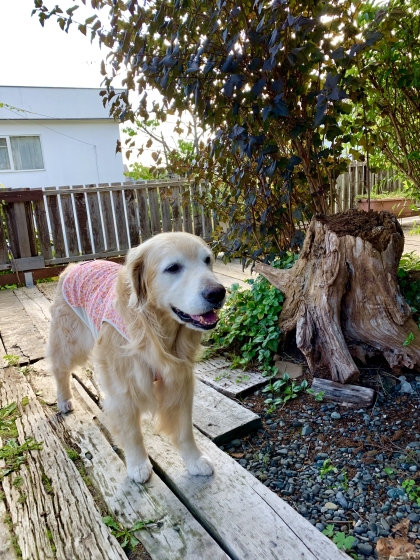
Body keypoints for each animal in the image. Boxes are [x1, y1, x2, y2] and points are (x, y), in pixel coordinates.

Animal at [47, 232, 226, 483]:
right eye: (173, 268)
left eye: (207, 260)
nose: (218, 292)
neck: (158, 332)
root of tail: (75, 265)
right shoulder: (124, 387)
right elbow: (132, 432)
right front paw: (138, 464)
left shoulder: (180, 381)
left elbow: (184, 430)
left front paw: (194, 460)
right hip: (70, 342)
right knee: (60, 369)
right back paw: (64, 400)